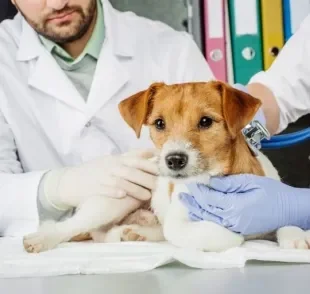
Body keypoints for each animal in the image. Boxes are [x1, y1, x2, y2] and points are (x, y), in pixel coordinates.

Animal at [23, 80, 310, 253]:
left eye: (206, 121)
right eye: (159, 123)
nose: (174, 160)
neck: (219, 180)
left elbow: (285, 219)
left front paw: (297, 235)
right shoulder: (180, 222)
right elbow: (204, 233)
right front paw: (233, 235)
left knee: (106, 234)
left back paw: (134, 233)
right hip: (114, 200)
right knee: (77, 227)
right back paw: (43, 238)